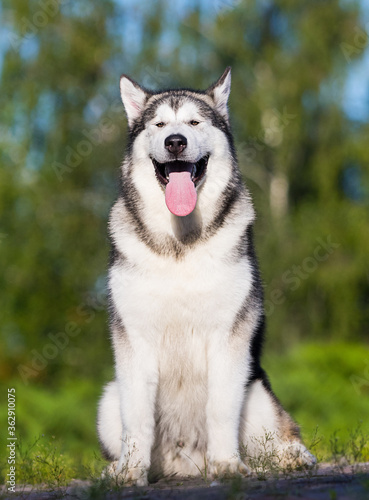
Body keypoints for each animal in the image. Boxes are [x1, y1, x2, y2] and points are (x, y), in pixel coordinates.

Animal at [96, 66, 314, 484]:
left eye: (195, 122)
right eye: (159, 124)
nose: (175, 141)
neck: (181, 244)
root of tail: (188, 463)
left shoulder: (228, 336)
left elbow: (220, 408)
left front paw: (227, 464)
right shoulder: (134, 340)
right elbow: (137, 418)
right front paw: (130, 471)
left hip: (257, 395)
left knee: (279, 438)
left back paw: (292, 457)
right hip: (107, 401)